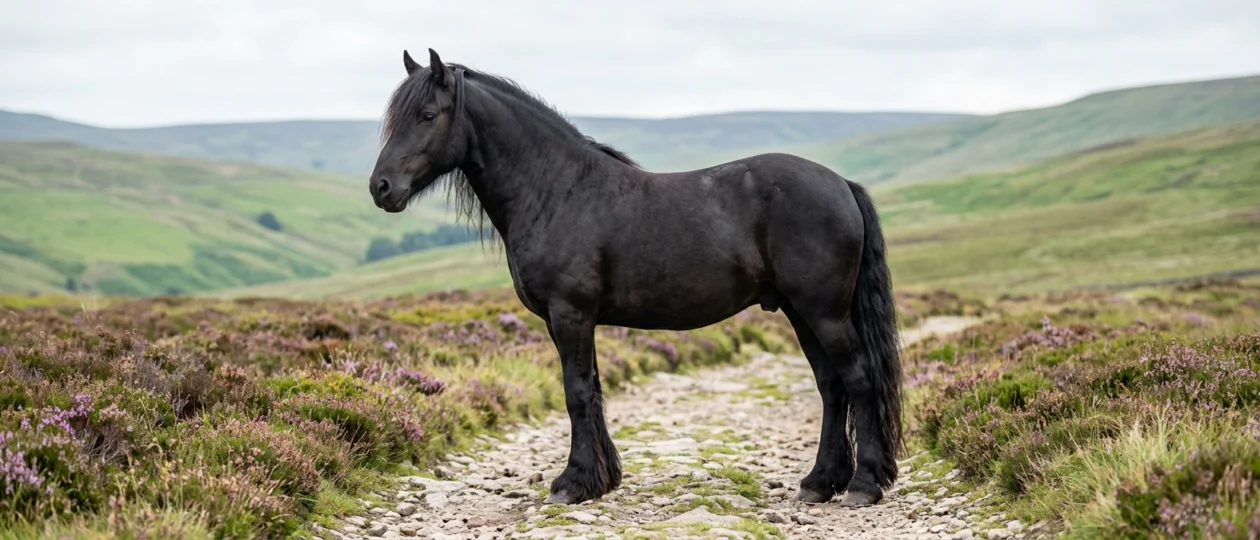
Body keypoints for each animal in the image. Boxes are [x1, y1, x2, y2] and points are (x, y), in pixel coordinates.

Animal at [367, 48, 904, 508]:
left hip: (823, 311)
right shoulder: (569, 321)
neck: (556, 189)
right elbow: (592, 390)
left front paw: (572, 484)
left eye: (427, 115)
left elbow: (577, 393)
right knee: (831, 386)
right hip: (800, 311)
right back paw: (819, 483)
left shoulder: (570, 314)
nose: (381, 188)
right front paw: (601, 479)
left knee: (857, 380)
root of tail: (841, 184)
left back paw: (863, 486)